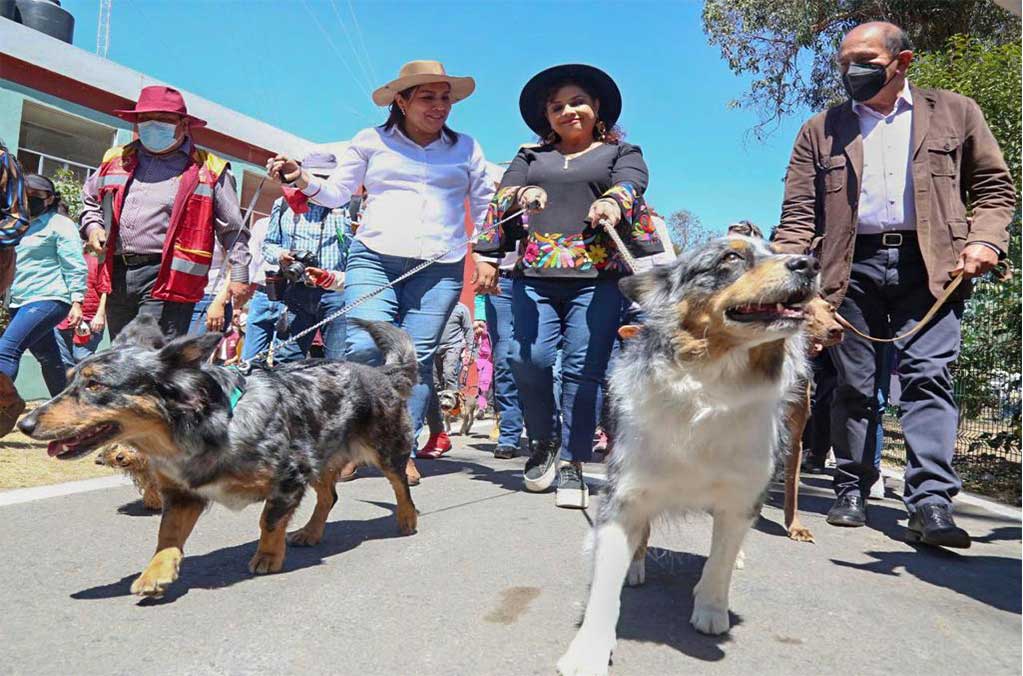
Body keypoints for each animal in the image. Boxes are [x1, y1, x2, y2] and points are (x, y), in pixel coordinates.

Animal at [17, 314, 415, 597]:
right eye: (70, 379)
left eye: (95, 384)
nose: (24, 423)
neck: (209, 424)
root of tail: (381, 372)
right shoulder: (182, 494)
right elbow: (167, 534)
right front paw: (157, 571)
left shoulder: (291, 475)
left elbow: (270, 521)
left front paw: (268, 556)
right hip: (322, 456)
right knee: (328, 496)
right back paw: (311, 531)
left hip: (384, 449)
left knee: (399, 486)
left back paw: (407, 519)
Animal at [556, 234, 818, 670]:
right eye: (731, 257)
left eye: (777, 250)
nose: (810, 264)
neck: (711, 386)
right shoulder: (625, 493)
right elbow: (605, 585)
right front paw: (588, 652)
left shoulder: (741, 497)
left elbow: (721, 562)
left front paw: (711, 610)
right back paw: (636, 566)